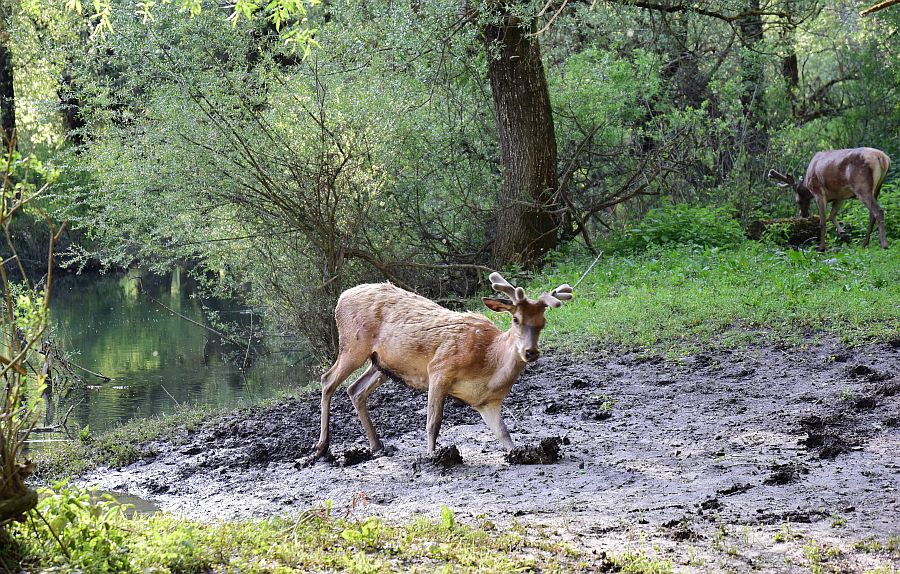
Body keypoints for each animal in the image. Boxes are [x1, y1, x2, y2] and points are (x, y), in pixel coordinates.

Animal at [312, 272, 572, 462]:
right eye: (516, 319)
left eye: (543, 322)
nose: (530, 352)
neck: (489, 365)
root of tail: (341, 298)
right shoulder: (440, 367)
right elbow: (433, 422)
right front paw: (432, 457)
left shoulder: (488, 401)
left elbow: (503, 432)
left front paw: (520, 453)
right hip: (354, 345)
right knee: (328, 380)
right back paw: (322, 447)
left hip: (382, 364)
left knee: (355, 389)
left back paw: (377, 445)